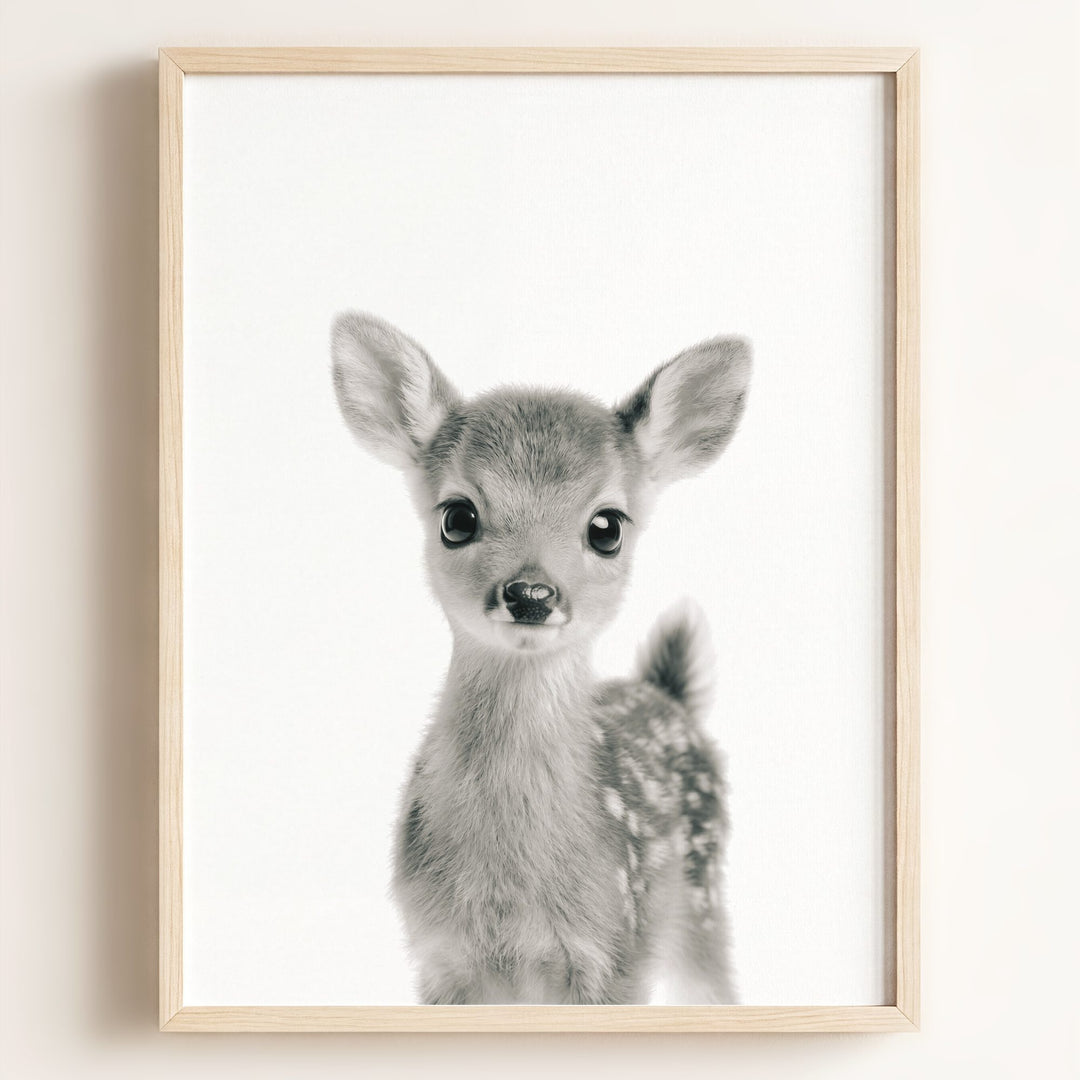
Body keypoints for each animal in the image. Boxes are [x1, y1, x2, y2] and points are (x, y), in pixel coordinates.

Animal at [331, 312, 751, 1005]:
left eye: (607, 526)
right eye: (457, 516)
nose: (531, 594)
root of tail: (667, 693)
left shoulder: (617, 951)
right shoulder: (438, 957)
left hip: (703, 900)